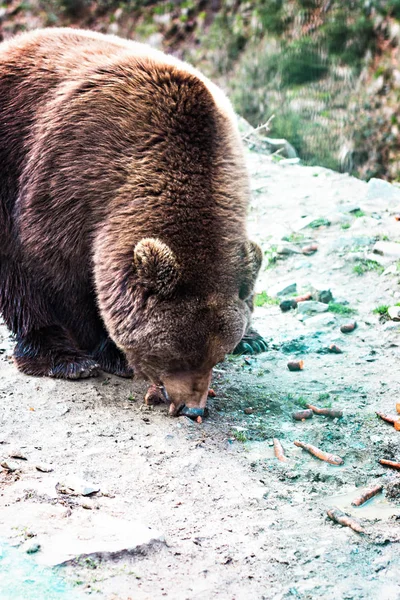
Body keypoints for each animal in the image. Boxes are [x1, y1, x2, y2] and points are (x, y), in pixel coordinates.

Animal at [0, 27, 266, 418]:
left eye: (217, 356)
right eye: (174, 353)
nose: (193, 408)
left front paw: (250, 337)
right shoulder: (66, 183)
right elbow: (58, 275)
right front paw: (110, 353)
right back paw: (61, 357)